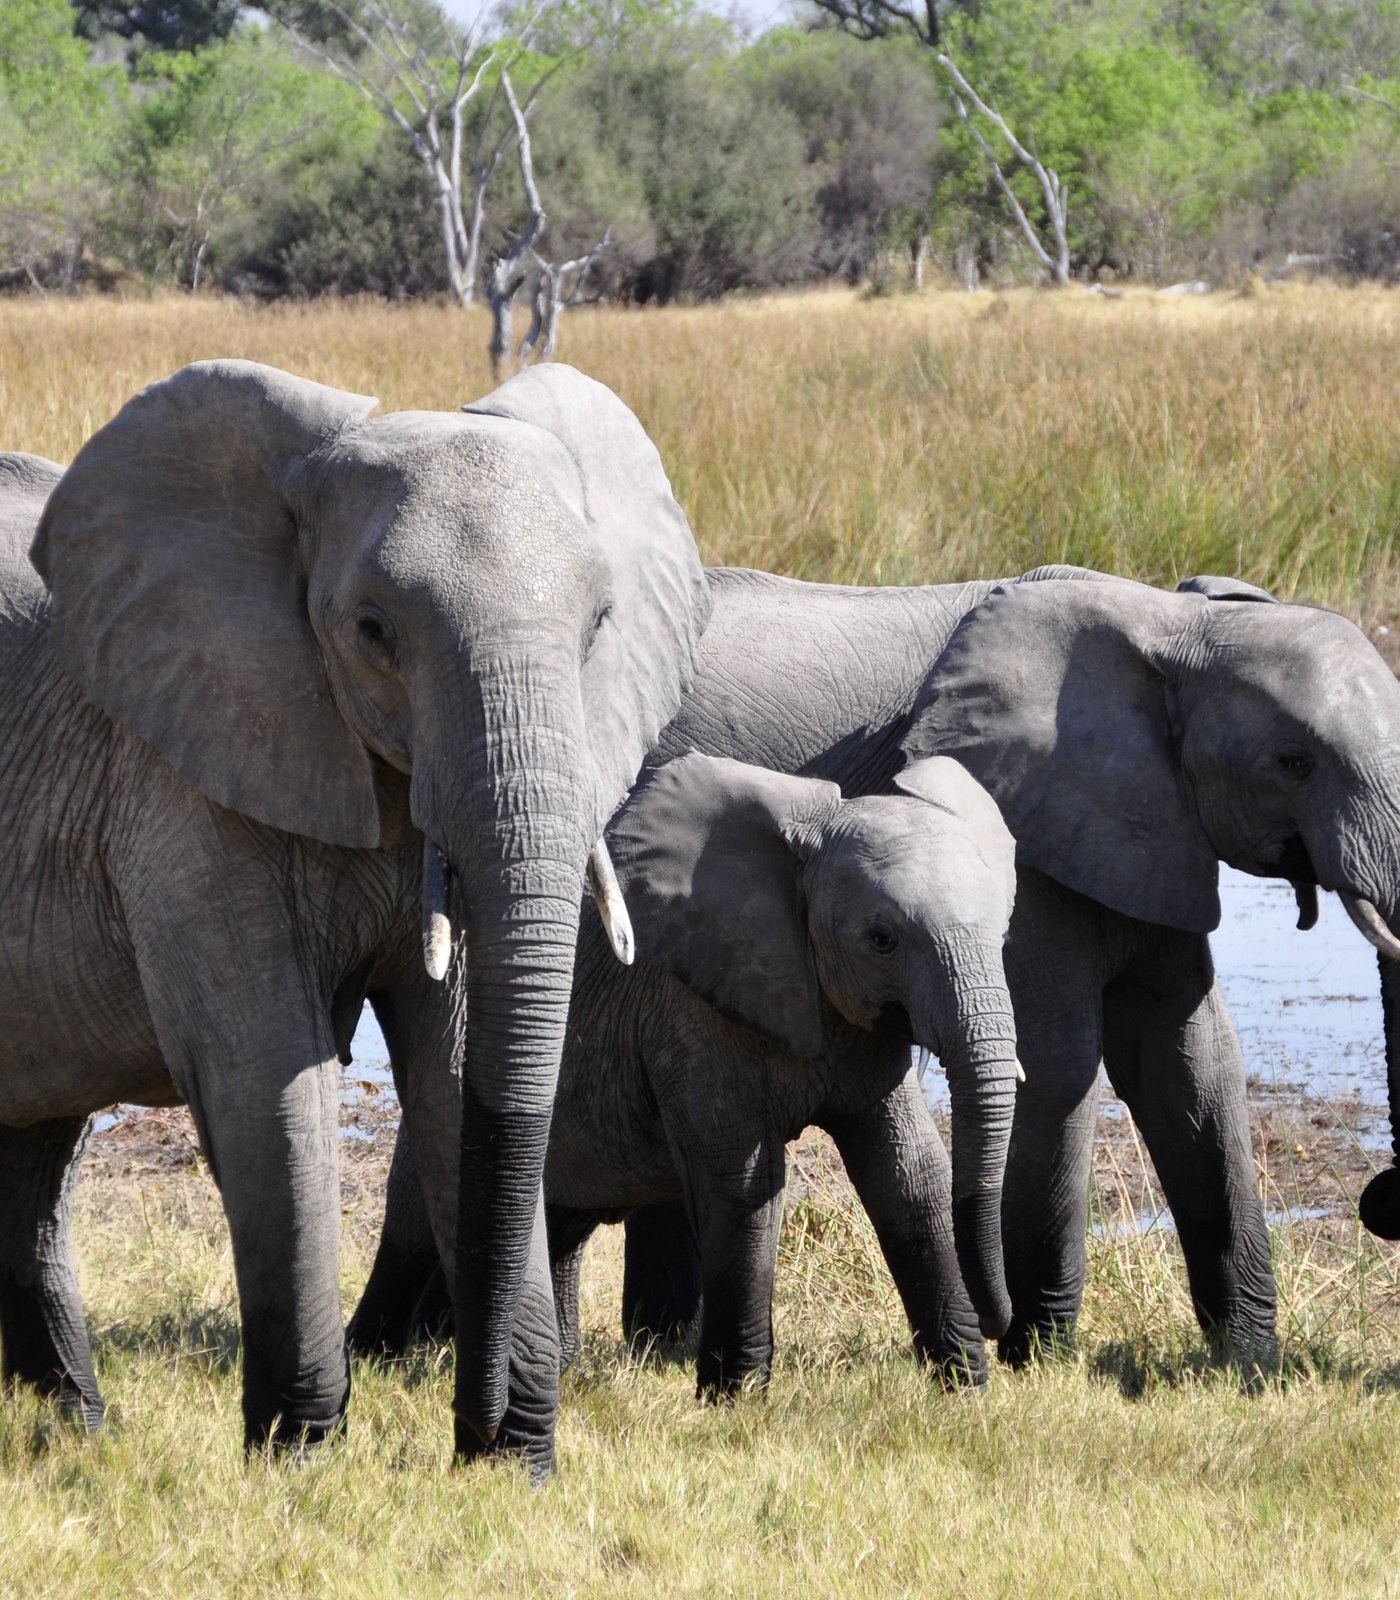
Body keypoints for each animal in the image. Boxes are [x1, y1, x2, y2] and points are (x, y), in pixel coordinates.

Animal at [0, 355, 706, 1466]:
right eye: (373, 632)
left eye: (599, 627)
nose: (476, 1425)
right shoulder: (177, 773)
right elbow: (265, 1074)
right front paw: (297, 1457)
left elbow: (456, 1066)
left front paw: (514, 1469)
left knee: (35, 1148)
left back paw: (78, 1429)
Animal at [353, 749, 1020, 1398]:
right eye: (881, 939)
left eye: (1003, 930)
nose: (1001, 1322)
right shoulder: (686, 1008)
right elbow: (743, 1183)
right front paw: (736, 1398)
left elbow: (909, 1175)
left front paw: (965, 1388)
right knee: (418, 1219)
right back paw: (376, 1361)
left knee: (560, 1224)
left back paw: (547, 1366)